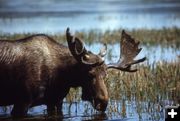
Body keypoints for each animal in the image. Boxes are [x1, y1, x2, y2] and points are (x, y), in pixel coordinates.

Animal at [0, 27, 145, 117]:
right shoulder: (22, 101)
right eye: (89, 74)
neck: (61, 78)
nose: (103, 103)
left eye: (106, 75)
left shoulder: (55, 101)